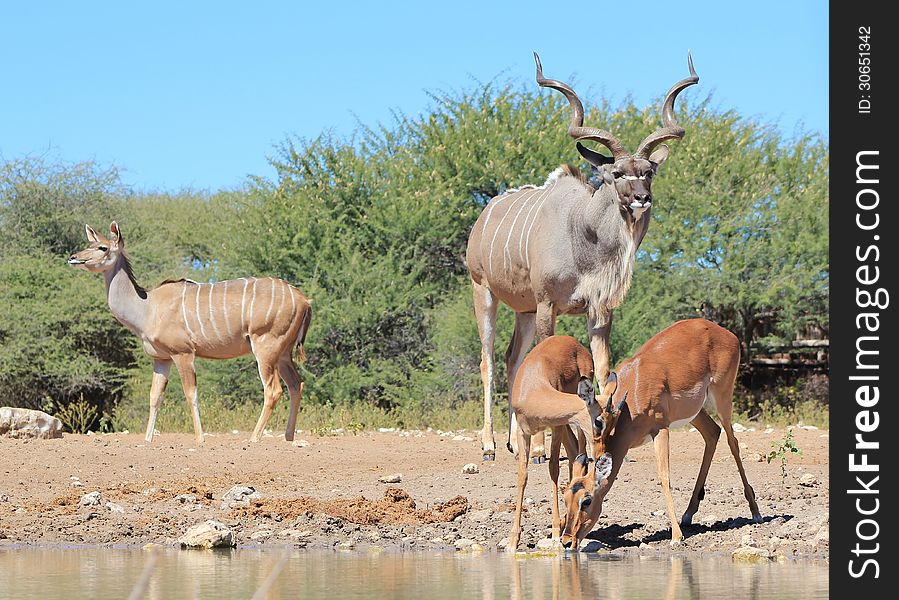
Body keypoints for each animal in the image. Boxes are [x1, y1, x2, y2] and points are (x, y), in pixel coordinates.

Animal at [68, 221, 312, 446]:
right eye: (90, 243)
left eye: (102, 247)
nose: (73, 257)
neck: (147, 308)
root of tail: (304, 300)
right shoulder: (161, 359)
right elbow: (155, 396)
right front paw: (147, 439)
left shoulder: (183, 353)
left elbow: (190, 393)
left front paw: (200, 439)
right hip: (283, 353)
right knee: (296, 384)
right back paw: (289, 438)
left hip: (265, 348)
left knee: (273, 390)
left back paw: (253, 439)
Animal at [468, 54, 700, 462]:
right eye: (618, 173)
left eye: (649, 172)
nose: (641, 198)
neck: (584, 236)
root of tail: (481, 221)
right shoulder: (548, 305)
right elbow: (544, 361)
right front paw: (543, 448)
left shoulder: (599, 310)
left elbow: (604, 370)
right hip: (485, 292)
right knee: (489, 360)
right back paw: (490, 445)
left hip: (523, 310)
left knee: (513, 358)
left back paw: (515, 440)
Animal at [506, 336, 620, 552]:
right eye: (599, 422)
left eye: (613, 423)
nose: (603, 453)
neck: (533, 389)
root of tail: (572, 340)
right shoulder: (523, 433)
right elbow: (522, 476)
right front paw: (512, 541)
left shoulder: (556, 426)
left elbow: (553, 469)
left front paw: (556, 532)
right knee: (575, 452)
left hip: (570, 424)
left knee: (578, 453)